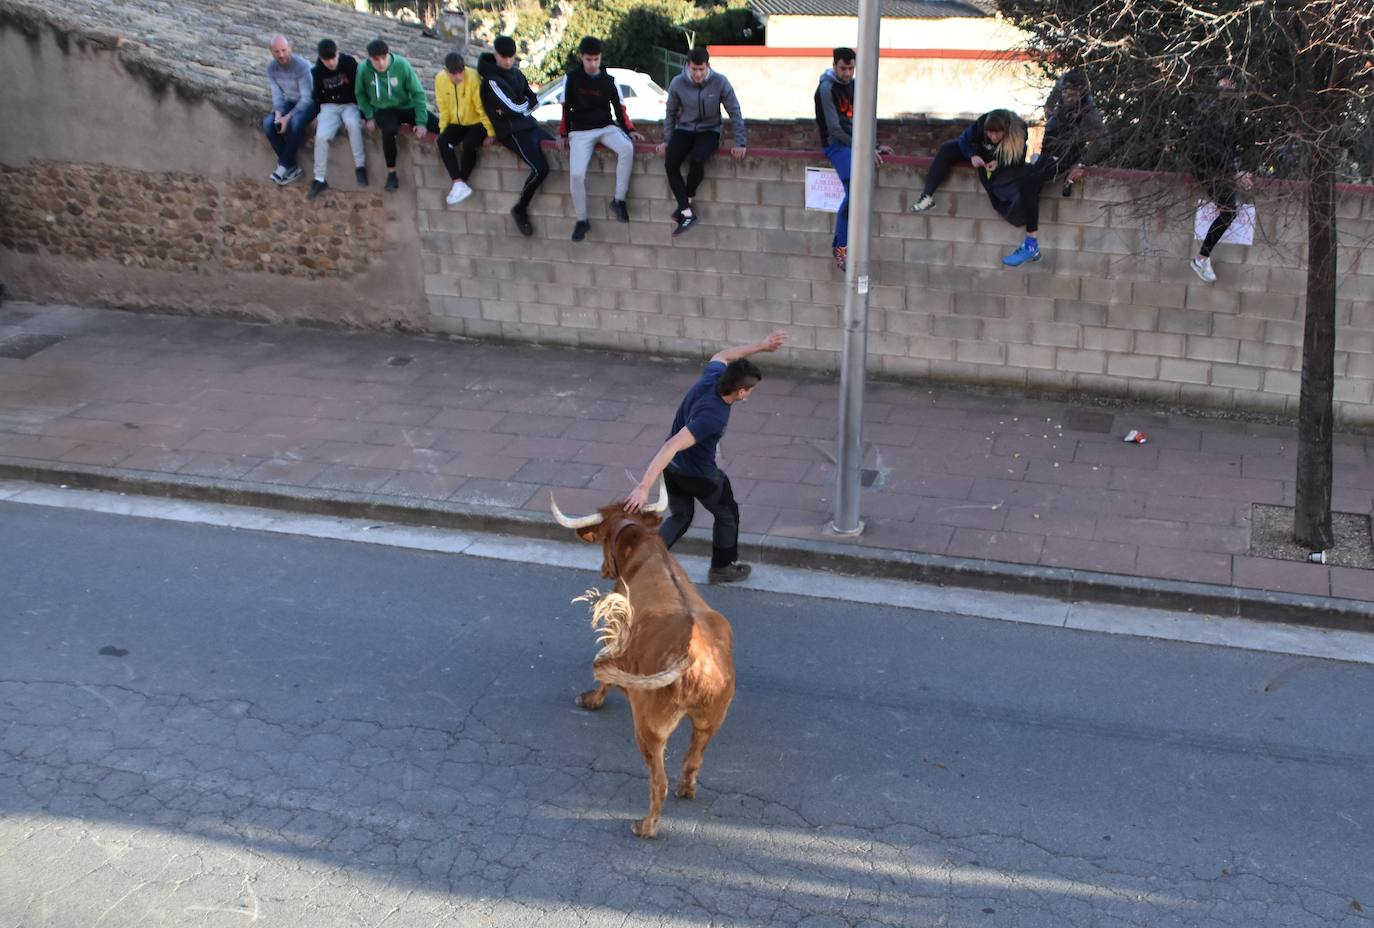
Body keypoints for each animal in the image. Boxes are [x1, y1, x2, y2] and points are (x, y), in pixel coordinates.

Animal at [552, 483, 736, 835]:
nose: (603, 569)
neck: (644, 548)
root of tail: (694, 660)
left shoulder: (613, 630)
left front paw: (591, 699)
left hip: (650, 730)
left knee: (658, 782)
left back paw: (645, 826)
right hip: (711, 722)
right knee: (692, 761)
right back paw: (686, 789)